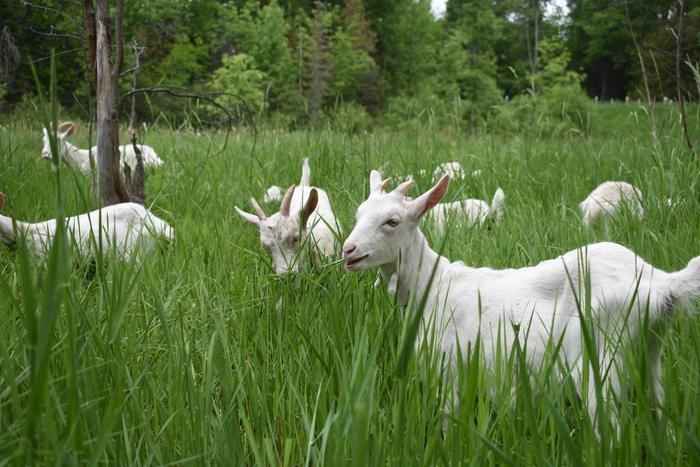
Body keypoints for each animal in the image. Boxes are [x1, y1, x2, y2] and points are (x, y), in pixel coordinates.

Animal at [343, 171, 700, 424]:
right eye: (358, 214)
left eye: (392, 221)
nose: (349, 250)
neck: (432, 286)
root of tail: (661, 282)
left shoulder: (449, 369)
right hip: (649, 350)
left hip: (601, 357)